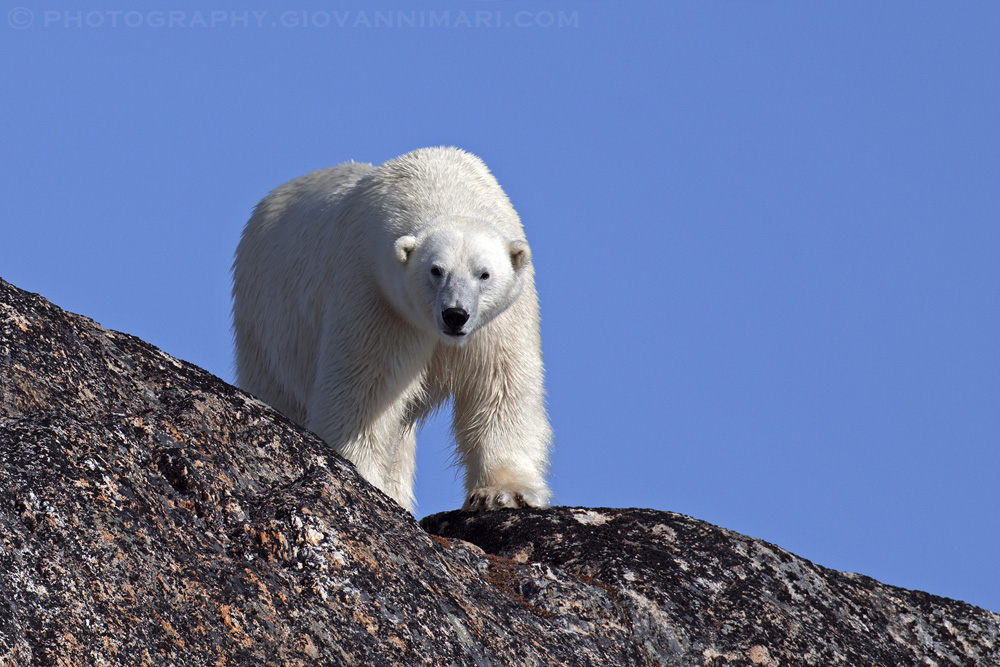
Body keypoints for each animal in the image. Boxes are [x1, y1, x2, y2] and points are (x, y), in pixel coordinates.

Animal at [231, 147, 552, 513]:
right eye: (435, 270)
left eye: (483, 273)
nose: (455, 315)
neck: (441, 182)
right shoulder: (376, 295)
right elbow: (365, 389)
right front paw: (360, 477)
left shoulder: (503, 319)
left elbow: (500, 384)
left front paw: (503, 493)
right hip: (267, 320)